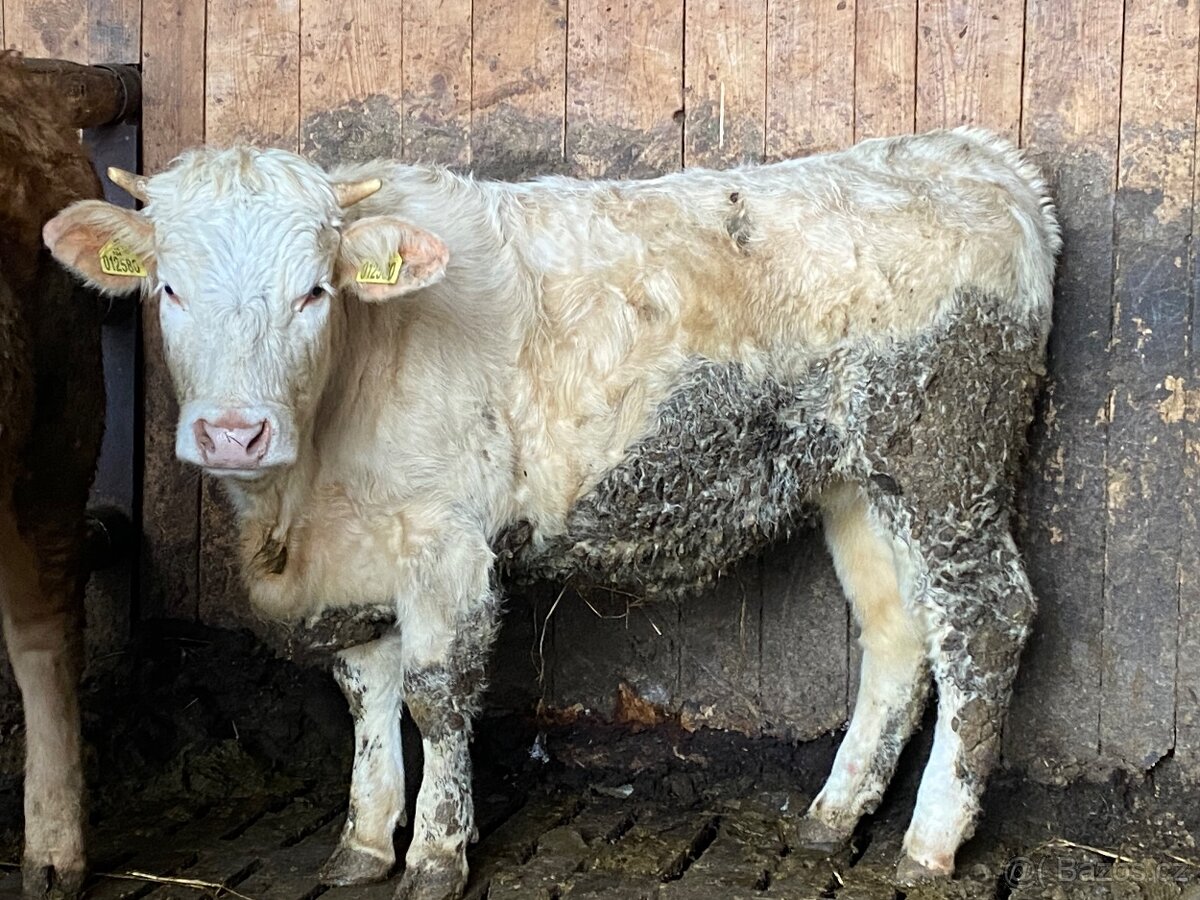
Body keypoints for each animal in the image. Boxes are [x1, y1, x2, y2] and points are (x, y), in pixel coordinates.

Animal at [45, 126, 1059, 900]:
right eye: (168, 288)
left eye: (314, 291)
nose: (233, 432)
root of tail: (974, 157)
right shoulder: (355, 560)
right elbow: (367, 691)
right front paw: (364, 842)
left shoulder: (445, 543)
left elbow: (435, 695)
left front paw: (436, 854)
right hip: (863, 484)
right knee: (900, 632)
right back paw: (834, 814)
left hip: (949, 466)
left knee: (985, 622)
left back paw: (930, 842)